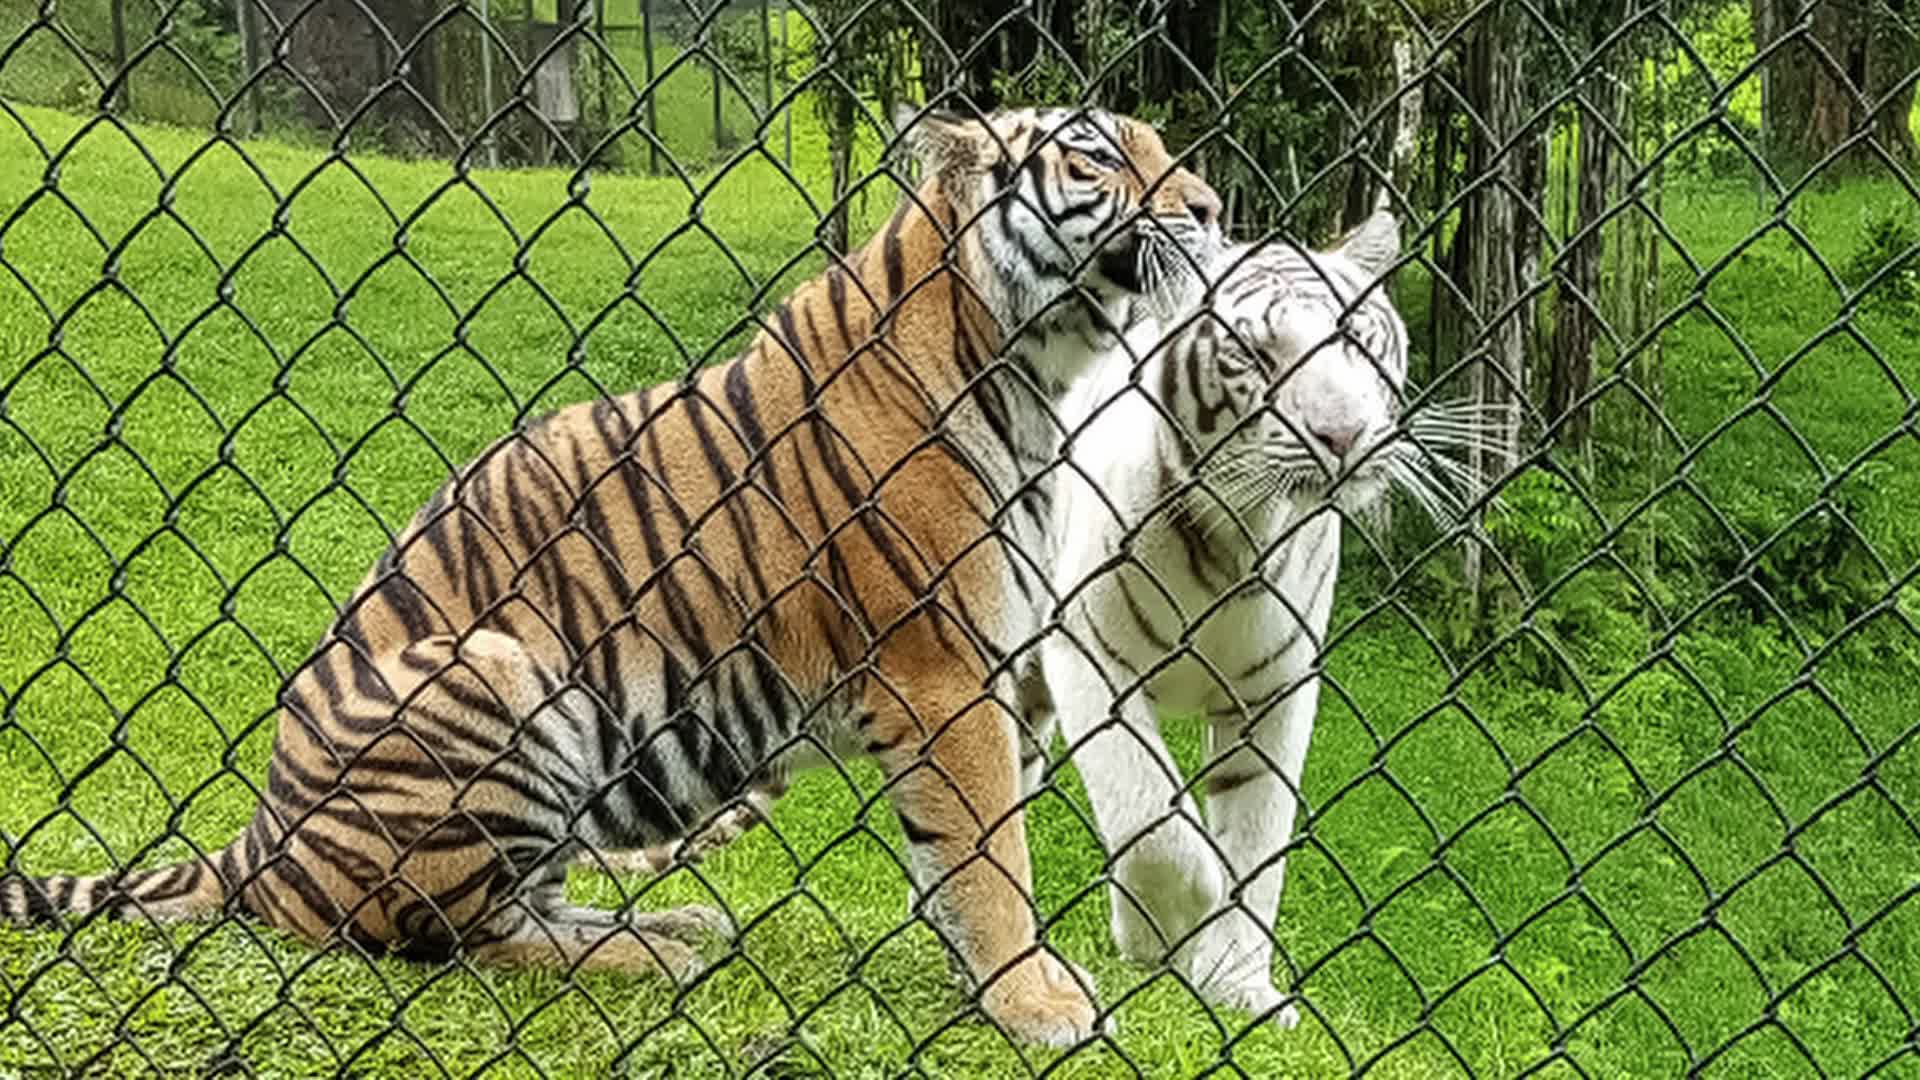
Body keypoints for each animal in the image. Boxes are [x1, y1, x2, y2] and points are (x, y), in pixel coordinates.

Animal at [0, 103, 1224, 1048]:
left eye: (1161, 148)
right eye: (1097, 158)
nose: (1213, 210)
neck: (1031, 369)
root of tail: (261, 837)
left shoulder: (999, 664)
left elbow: (973, 846)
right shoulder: (942, 670)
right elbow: (990, 850)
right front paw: (1035, 1001)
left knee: (522, 907)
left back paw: (673, 926)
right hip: (498, 675)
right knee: (457, 940)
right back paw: (650, 955)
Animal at [1021, 204, 1494, 1029]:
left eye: (1355, 338)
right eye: (1252, 353)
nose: (1342, 435)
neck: (1240, 537)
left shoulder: (1277, 692)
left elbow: (1257, 840)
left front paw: (1239, 985)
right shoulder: (1091, 656)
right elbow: (1150, 818)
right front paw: (1162, 932)